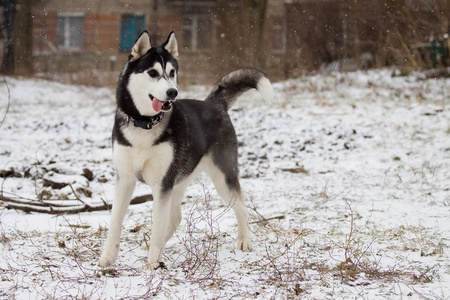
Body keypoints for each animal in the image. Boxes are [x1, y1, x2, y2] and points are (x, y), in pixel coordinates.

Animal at [99, 31, 272, 270]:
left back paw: (245, 240)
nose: (172, 92)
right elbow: (115, 221)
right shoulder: (125, 179)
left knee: (242, 207)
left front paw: (152, 263)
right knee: (175, 218)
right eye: (153, 73)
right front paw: (107, 258)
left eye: (172, 73)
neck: (145, 124)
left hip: (222, 177)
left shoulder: (162, 184)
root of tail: (214, 104)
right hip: (179, 180)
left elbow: (158, 223)